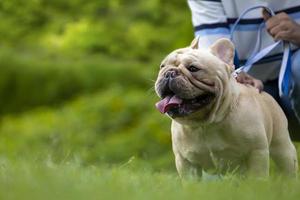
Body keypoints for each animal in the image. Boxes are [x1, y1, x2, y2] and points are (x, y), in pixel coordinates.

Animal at [155, 37, 298, 178]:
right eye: (162, 66)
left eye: (193, 68)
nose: (169, 73)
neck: (205, 124)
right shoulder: (186, 162)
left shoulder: (257, 153)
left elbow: (257, 178)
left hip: (282, 147)